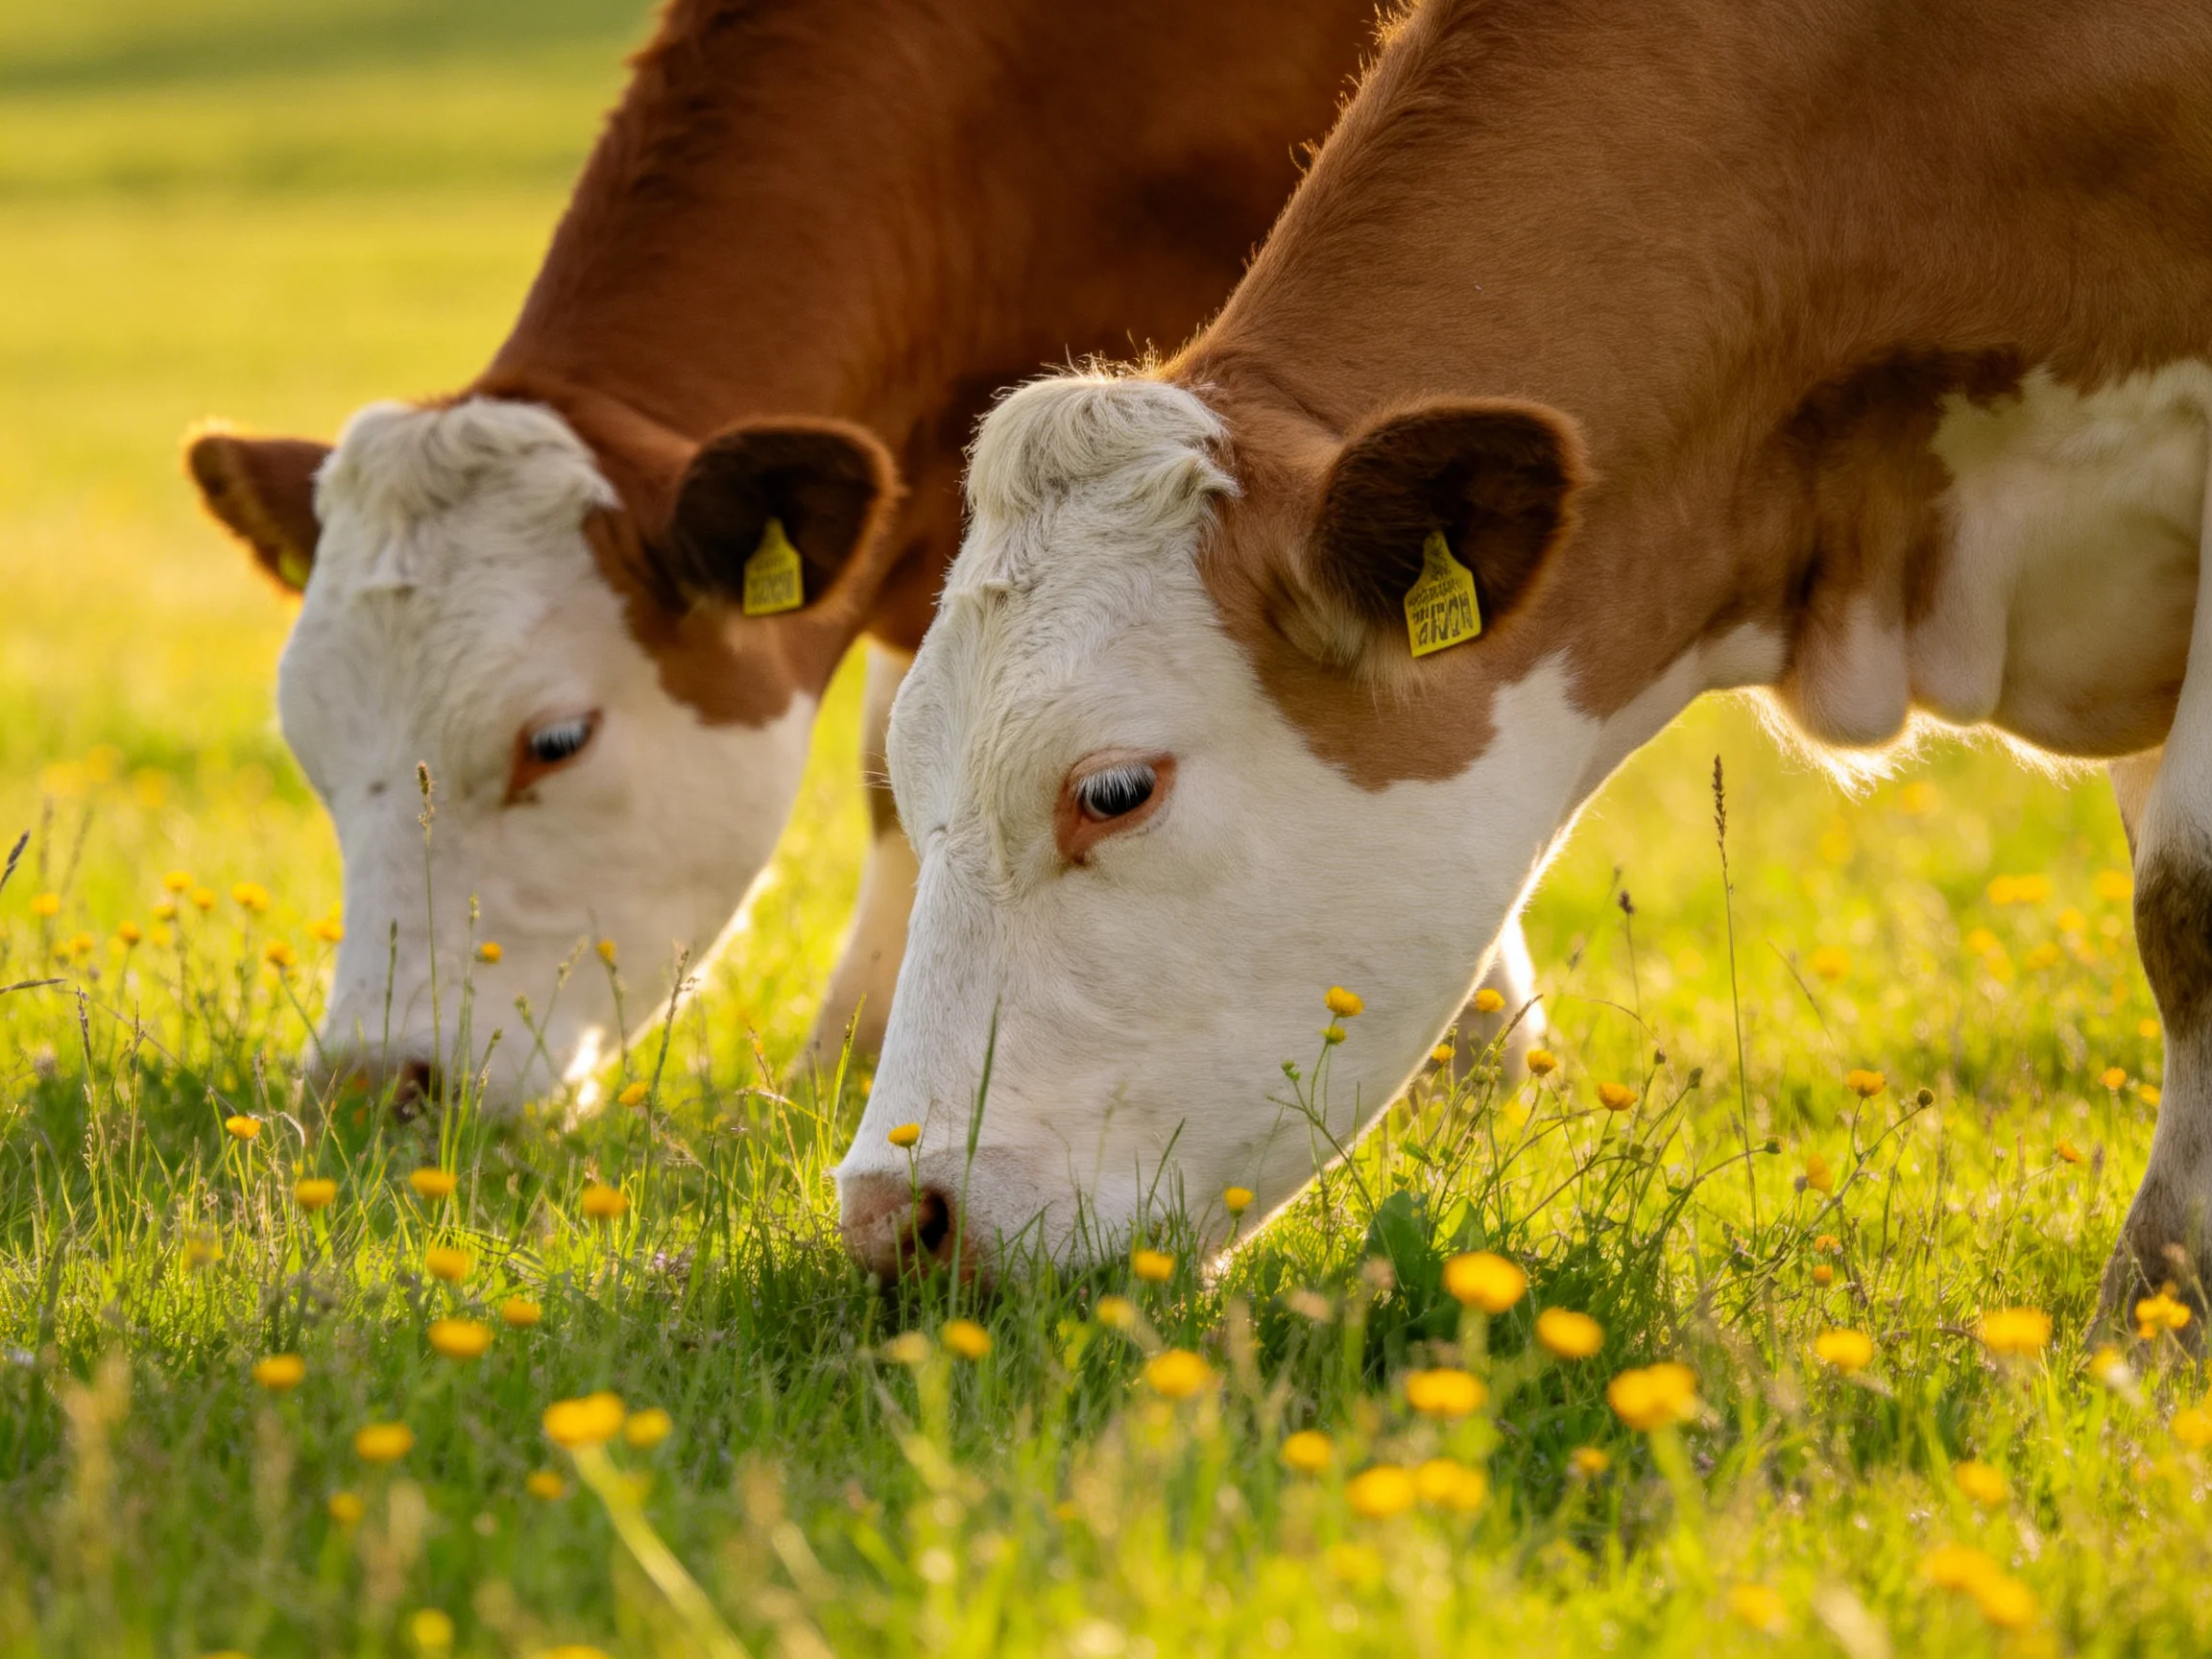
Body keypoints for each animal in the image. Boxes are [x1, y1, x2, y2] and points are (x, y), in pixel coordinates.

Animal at [184, 0, 1544, 1108]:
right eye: (312, 753)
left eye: (555, 742)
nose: (374, 1084)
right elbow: (897, 763)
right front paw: (848, 1048)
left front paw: (1483, 1065)